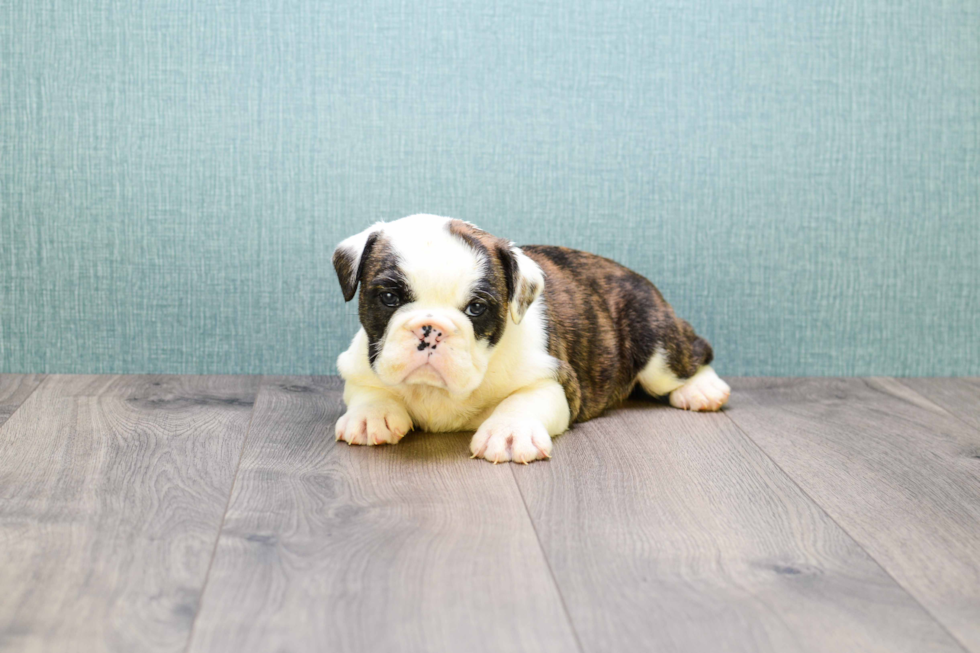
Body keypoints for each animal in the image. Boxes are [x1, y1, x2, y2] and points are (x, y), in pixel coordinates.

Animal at [334, 215, 728, 464]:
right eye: (389, 297)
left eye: (477, 308)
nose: (431, 329)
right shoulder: (358, 366)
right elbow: (370, 390)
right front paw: (371, 416)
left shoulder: (555, 381)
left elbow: (522, 402)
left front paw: (510, 432)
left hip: (654, 341)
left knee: (691, 353)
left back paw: (703, 389)